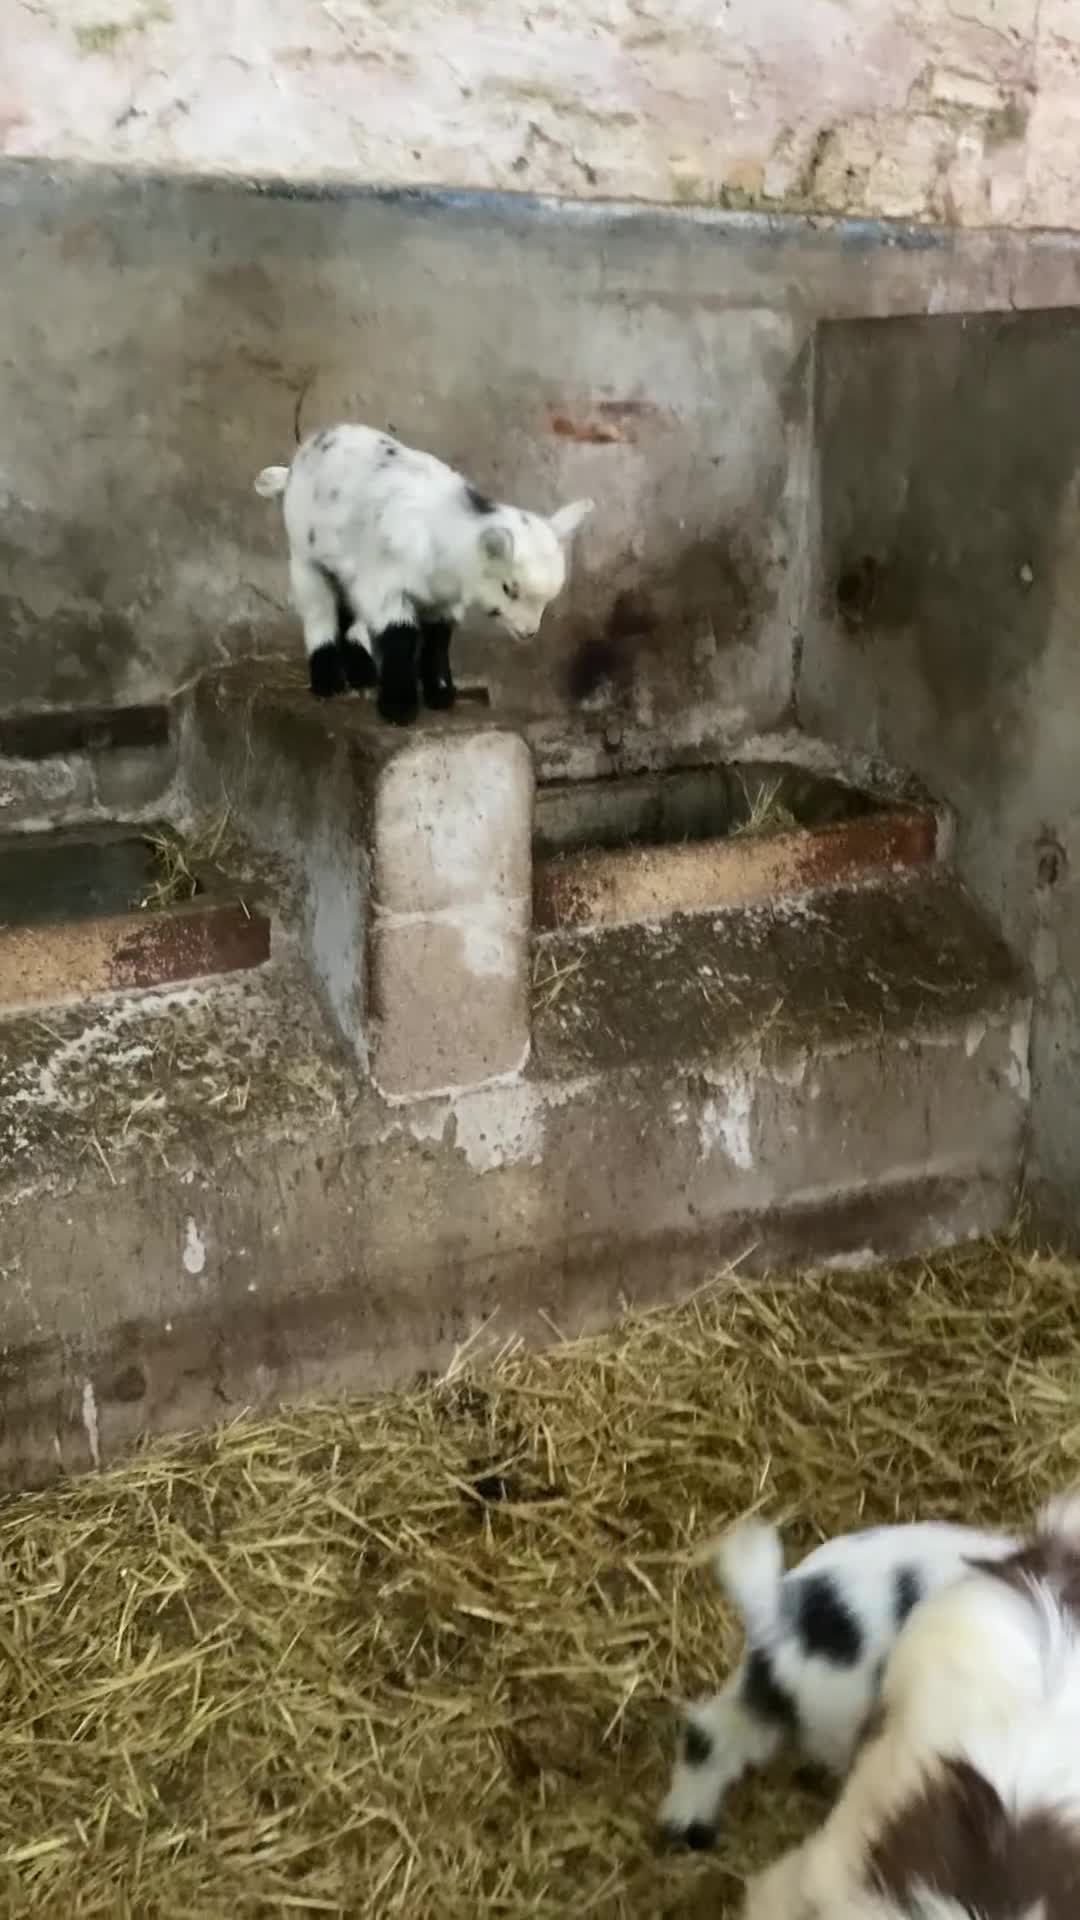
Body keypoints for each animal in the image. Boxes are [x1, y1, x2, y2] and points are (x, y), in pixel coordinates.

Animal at [254, 424, 593, 725]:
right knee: (319, 613)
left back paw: (363, 674)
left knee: (349, 613)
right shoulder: (386, 587)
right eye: (510, 588)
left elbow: (437, 641)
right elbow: (400, 635)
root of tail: (296, 463)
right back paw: (328, 682)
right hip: (305, 557)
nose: (529, 632)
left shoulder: (442, 602)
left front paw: (440, 694)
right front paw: (399, 708)